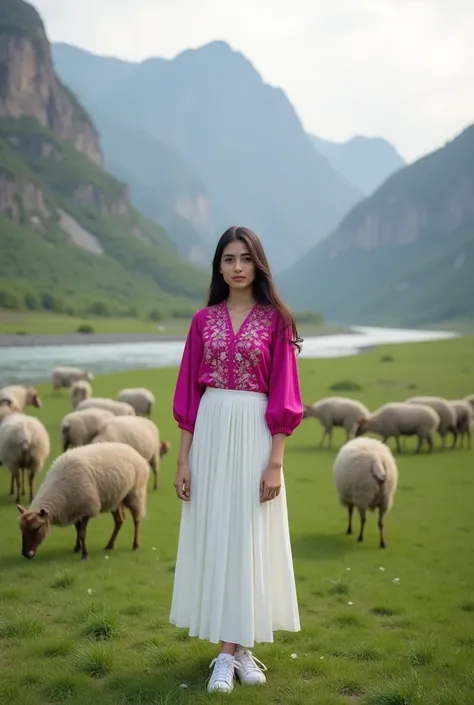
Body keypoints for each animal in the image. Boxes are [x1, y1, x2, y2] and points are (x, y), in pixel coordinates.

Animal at [17, 440, 150, 560]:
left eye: (37, 528)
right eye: (22, 530)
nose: (26, 554)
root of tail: (134, 451)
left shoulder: (88, 507)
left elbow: (82, 532)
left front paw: (85, 554)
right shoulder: (74, 508)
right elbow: (77, 528)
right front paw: (77, 548)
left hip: (135, 493)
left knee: (137, 519)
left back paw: (135, 545)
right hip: (115, 499)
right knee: (119, 521)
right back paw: (109, 545)